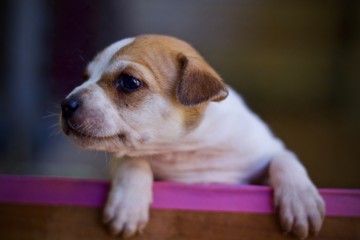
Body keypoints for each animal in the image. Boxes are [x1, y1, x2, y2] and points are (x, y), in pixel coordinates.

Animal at [60, 34, 324, 239]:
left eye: (129, 82)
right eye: (85, 77)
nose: (66, 104)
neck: (186, 149)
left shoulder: (266, 152)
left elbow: (284, 158)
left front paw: (301, 201)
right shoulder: (132, 154)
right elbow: (132, 160)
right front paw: (127, 204)